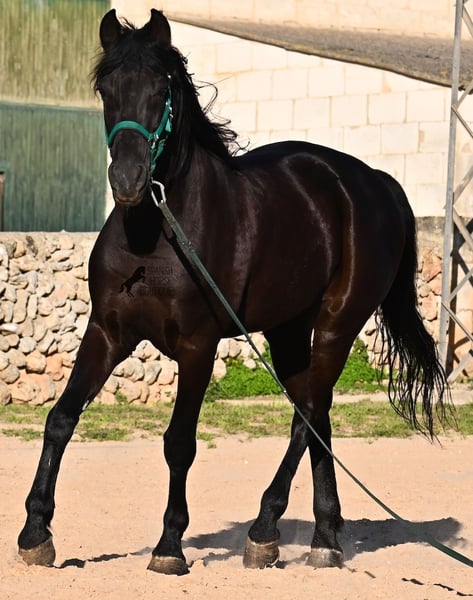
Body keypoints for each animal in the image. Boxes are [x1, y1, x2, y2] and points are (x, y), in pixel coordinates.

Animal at [18, 9, 449, 575]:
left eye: (163, 88)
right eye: (105, 88)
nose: (129, 180)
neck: (156, 234)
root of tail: (376, 182)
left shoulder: (197, 347)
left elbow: (179, 442)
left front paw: (169, 546)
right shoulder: (108, 333)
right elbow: (60, 419)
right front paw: (35, 533)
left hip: (338, 323)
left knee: (306, 415)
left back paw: (264, 530)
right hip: (289, 331)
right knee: (316, 413)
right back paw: (324, 538)